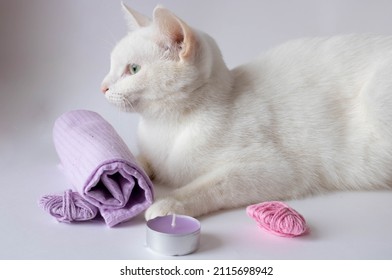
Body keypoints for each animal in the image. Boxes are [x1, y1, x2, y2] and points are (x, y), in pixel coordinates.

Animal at [102, 3, 392, 220]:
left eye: (133, 69)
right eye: (111, 66)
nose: (102, 86)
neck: (168, 126)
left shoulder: (274, 169)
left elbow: (208, 186)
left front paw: (169, 203)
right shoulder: (153, 155)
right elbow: (135, 160)